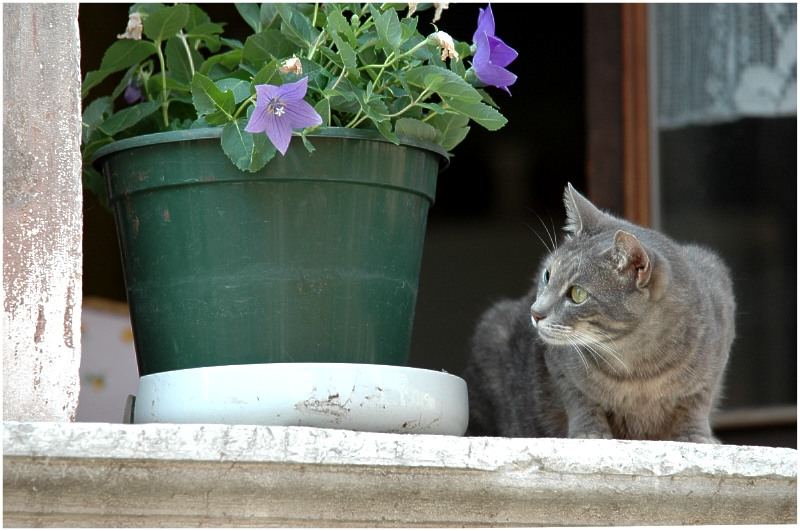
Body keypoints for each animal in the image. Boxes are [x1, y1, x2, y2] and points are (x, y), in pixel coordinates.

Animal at [466, 185, 736, 442]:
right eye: (547, 275)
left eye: (577, 294)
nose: (535, 312)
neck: (637, 367)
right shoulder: (561, 368)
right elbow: (582, 401)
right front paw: (589, 434)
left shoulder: (716, 358)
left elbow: (696, 403)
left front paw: (696, 437)